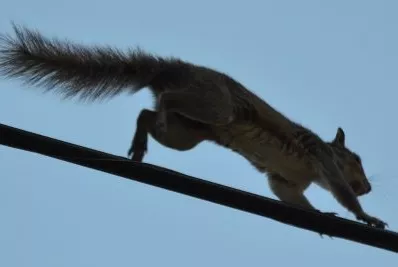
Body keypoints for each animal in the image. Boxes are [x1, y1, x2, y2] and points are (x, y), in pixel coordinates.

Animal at [0, 24, 388, 230]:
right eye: (355, 159)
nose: (368, 187)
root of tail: (170, 70)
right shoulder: (322, 158)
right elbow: (341, 190)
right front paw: (366, 216)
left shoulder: (285, 180)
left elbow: (290, 197)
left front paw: (319, 214)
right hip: (215, 107)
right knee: (166, 103)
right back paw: (154, 120)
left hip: (188, 132)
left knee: (146, 113)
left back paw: (141, 142)